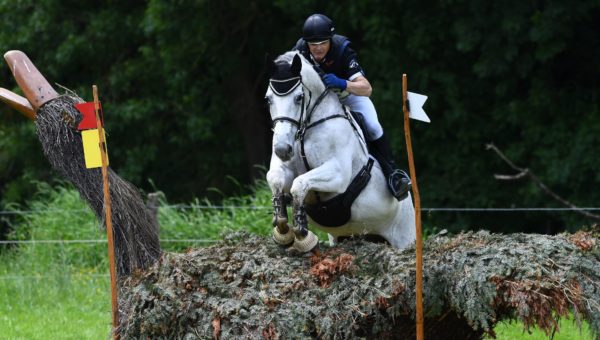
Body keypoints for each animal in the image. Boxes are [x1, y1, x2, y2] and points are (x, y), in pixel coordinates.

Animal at [264, 51, 414, 252]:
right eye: (268, 99)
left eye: (299, 98)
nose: (282, 149)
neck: (306, 128)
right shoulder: (284, 168)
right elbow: (276, 178)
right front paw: (282, 230)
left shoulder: (338, 174)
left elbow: (299, 183)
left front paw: (302, 233)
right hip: (342, 237)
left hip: (404, 237)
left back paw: (399, 182)